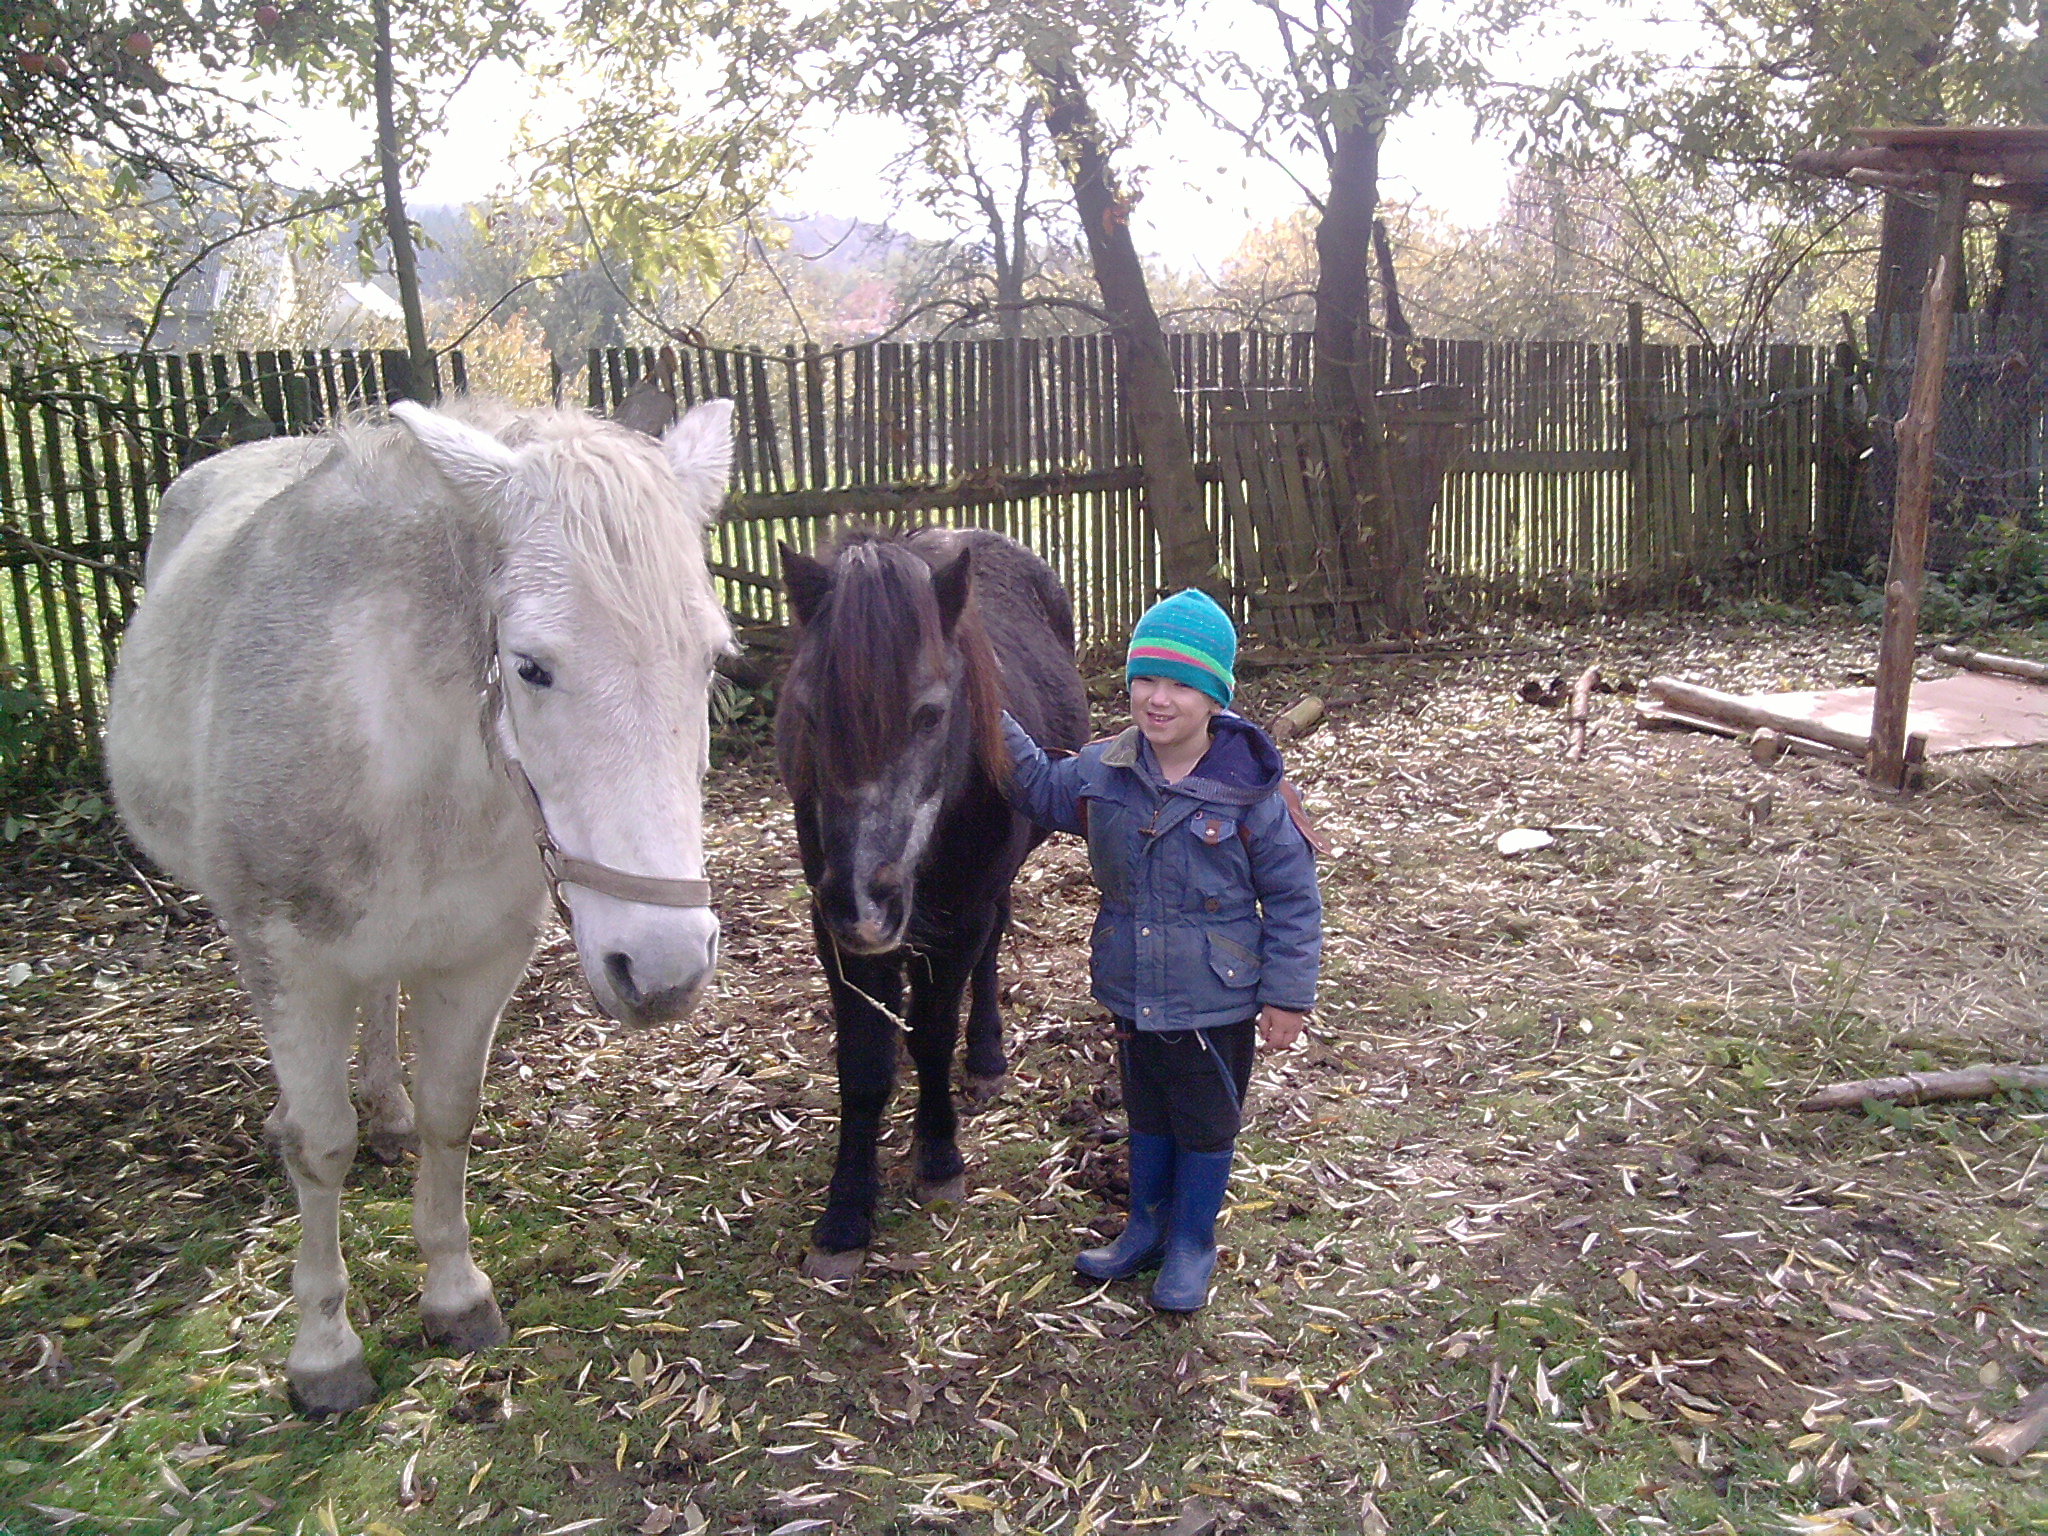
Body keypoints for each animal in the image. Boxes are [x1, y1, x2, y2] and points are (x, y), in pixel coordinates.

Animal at [108, 399, 737, 1417]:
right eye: (530, 667)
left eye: (712, 660)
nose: (664, 968)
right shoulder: (291, 960)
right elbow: (320, 1145)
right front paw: (323, 1351)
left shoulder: (479, 958)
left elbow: (451, 1114)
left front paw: (453, 1293)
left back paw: (389, 1110)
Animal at [774, 528, 1089, 1277]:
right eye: (807, 713)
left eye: (930, 716)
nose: (863, 898)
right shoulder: (835, 938)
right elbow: (863, 1066)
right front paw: (846, 1214)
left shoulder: (959, 917)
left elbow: (933, 1037)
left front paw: (939, 1155)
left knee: (991, 949)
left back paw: (987, 1058)